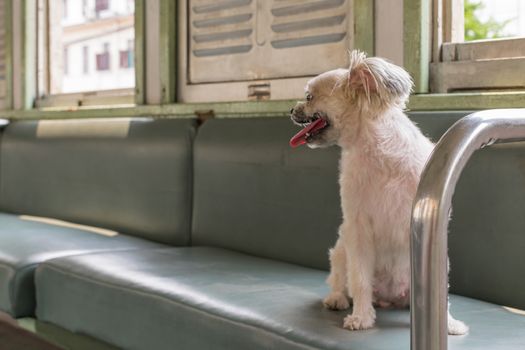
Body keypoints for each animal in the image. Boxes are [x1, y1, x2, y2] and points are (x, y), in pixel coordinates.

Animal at [290, 50, 466, 334]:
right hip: (340, 250)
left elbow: (443, 291)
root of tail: (389, 298)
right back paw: (337, 299)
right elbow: (360, 278)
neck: (376, 152)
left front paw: (448, 324)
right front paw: (362, 318)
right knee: (340, 280)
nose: (290, 109)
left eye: (309, 97)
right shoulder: (358, 230)